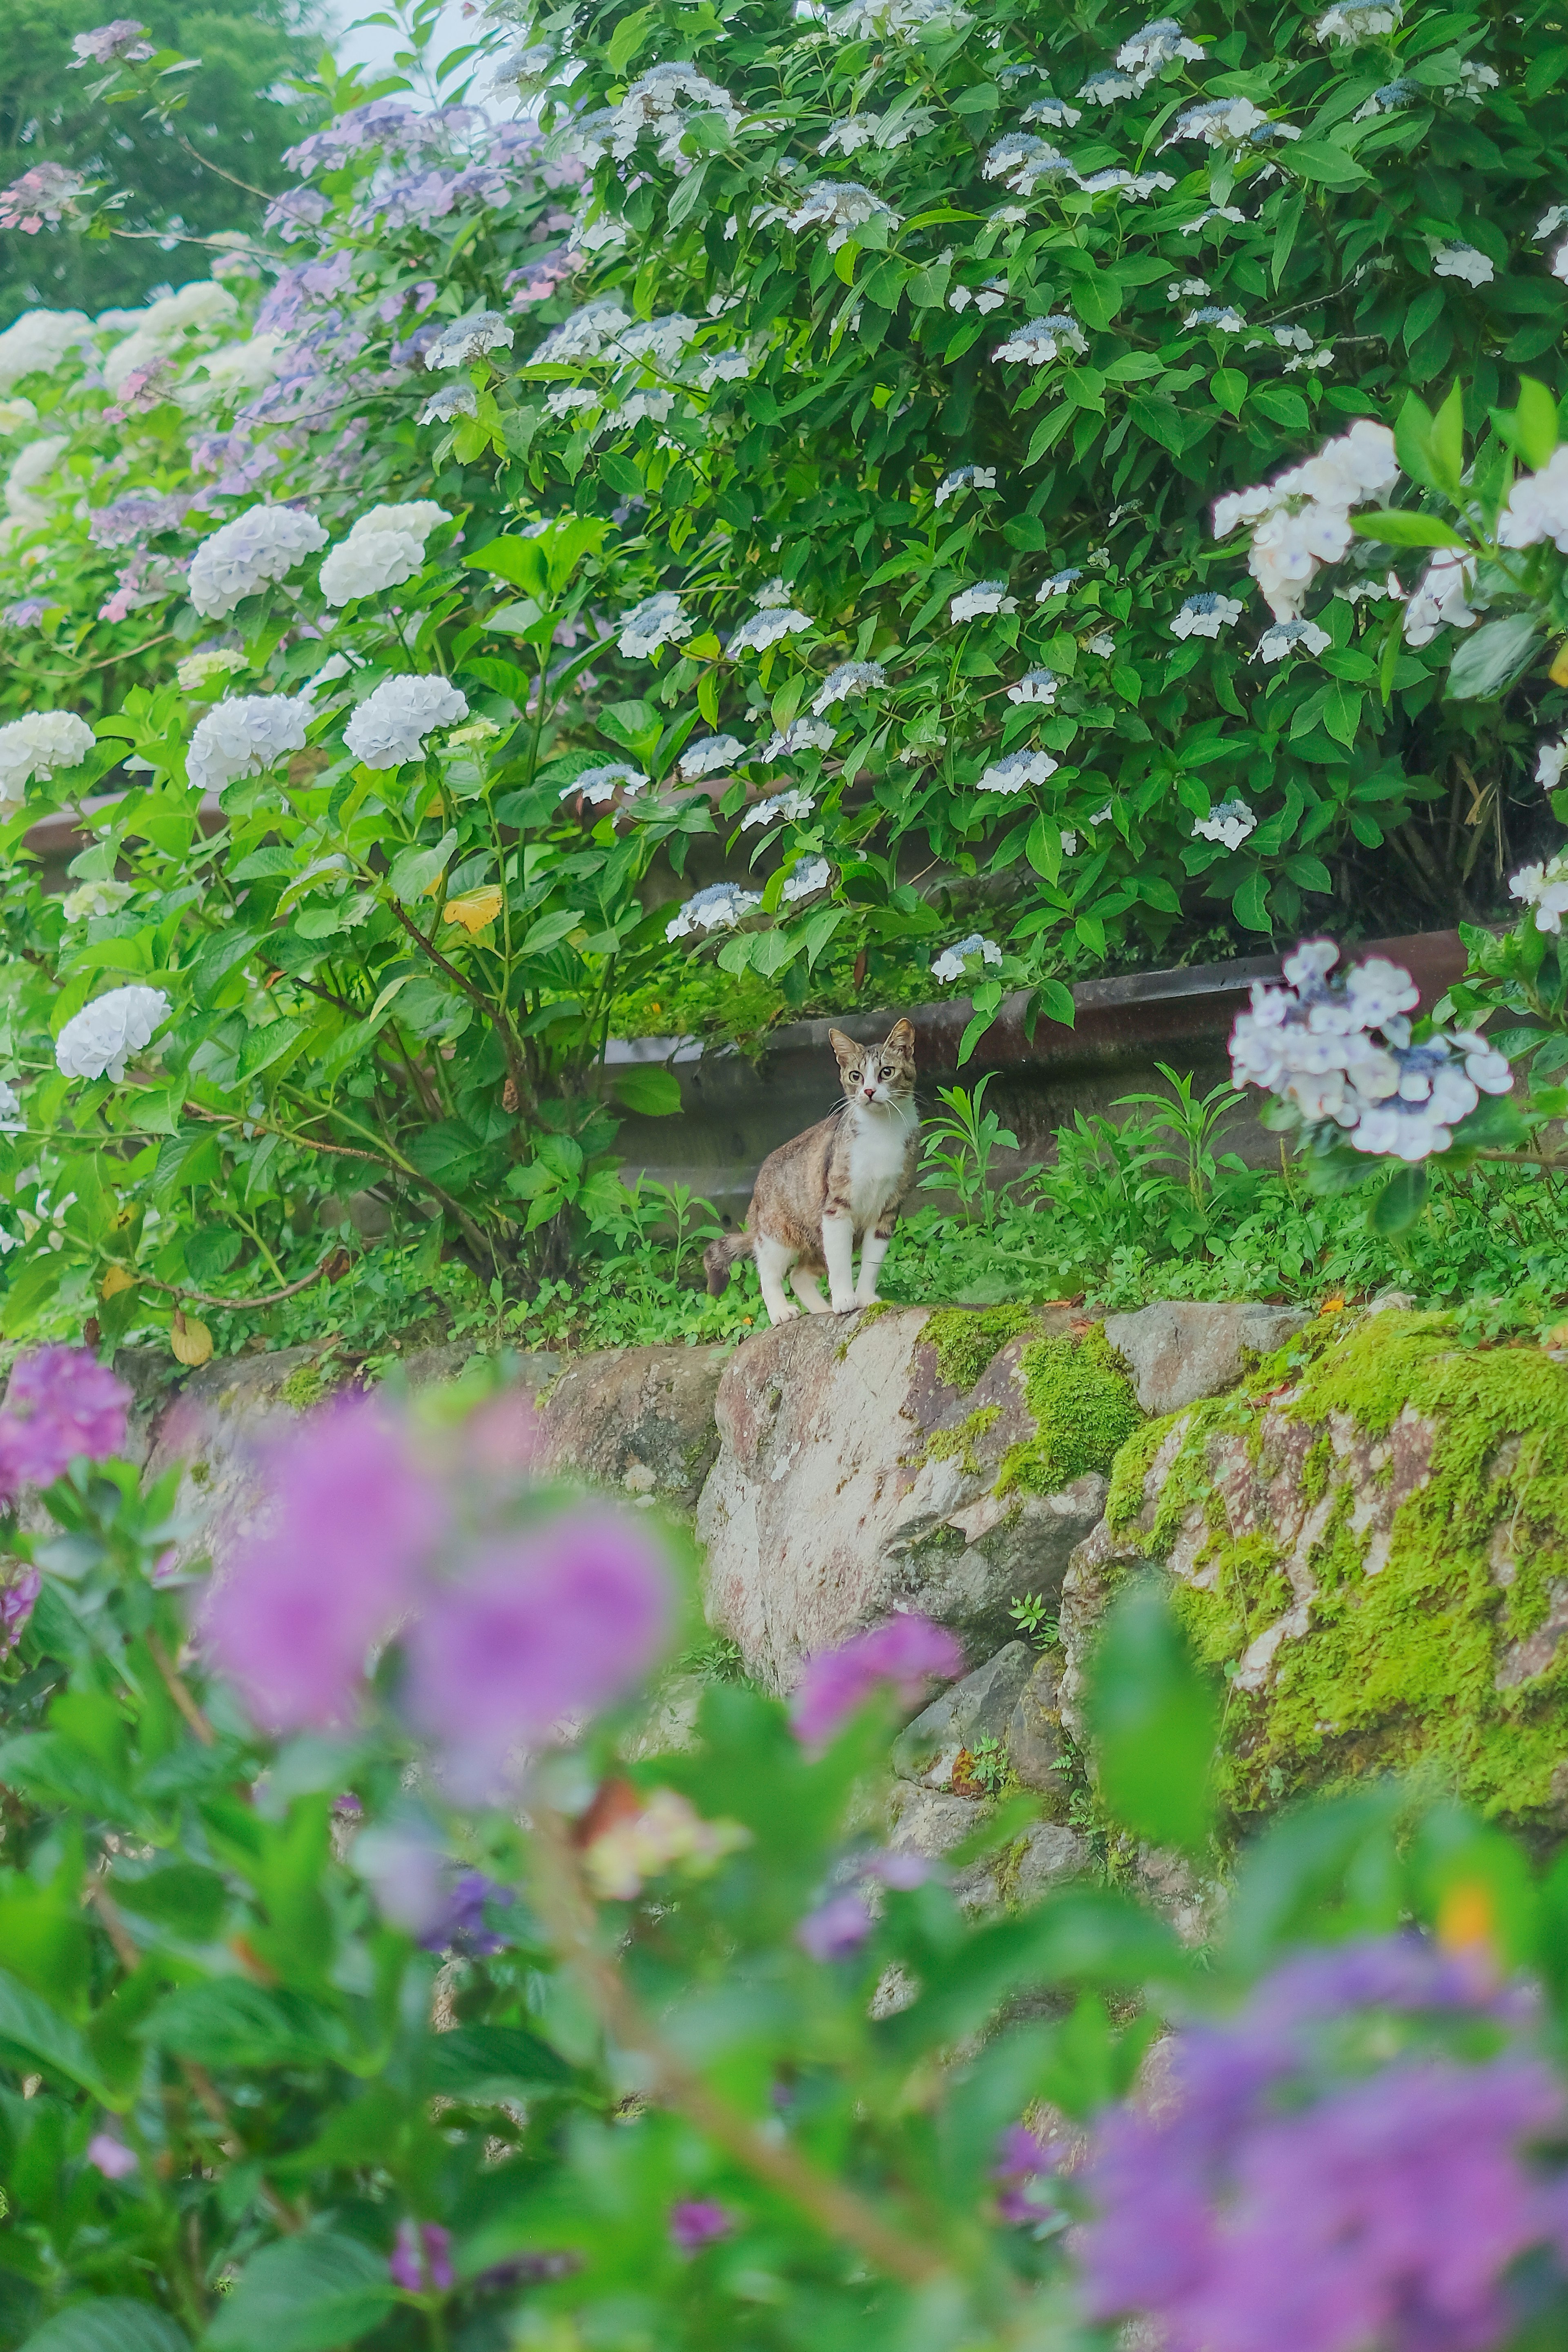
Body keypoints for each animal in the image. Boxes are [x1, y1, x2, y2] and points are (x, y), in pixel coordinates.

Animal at [700, 1020, 921, 1336]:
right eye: (855, 1076)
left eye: (887, 1072)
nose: (868, 1091)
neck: (882, 1133)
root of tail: (756, 1191)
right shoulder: (836, 1207)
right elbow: (840, 1264)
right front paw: (844, 1299)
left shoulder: (888, 1212)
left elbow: (873, 1261)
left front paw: (865, 1298)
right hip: (779, 1235)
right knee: (768, 1272)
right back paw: (782, 1312)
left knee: (799, 1276)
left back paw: (821, 1311)